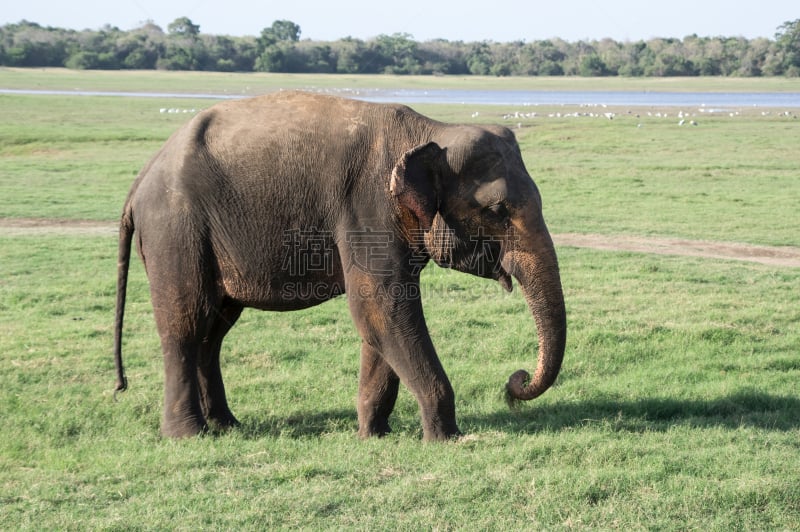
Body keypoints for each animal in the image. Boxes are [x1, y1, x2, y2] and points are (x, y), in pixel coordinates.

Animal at [112, 90, 564, 440]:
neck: (431, 130)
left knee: (215, 329)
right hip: (176, 230)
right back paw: (188, 434)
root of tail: (139, 181)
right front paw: (446, 438)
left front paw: (373, 435)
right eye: (498, 210)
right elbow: (381, 308)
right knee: (185, 325)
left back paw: (227, 426)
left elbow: (379, 319)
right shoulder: (368, 210)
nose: (515, 381)